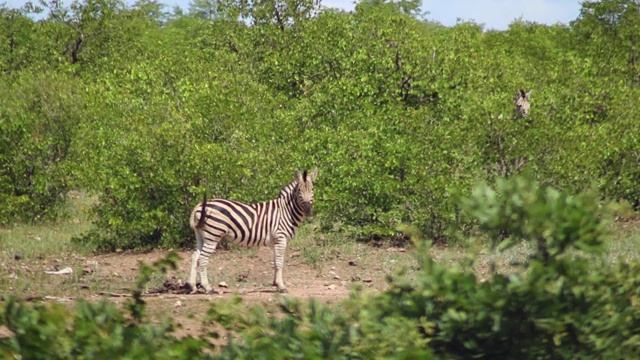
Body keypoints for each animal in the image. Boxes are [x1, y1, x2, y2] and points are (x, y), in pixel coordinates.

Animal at [188, 169, 318, 292]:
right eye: (299, 190)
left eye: (312, 189)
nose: (308, 209)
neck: (286, 211)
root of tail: (199, 206)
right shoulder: (280, 237)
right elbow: (280, 261)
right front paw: (281, 286)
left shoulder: (275, 241)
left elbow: (275, 262)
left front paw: (275, 283)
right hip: (213, 235)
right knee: (203, 259)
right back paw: (207, 288)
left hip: (201, 235)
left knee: (195, 257)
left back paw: (192, 286)